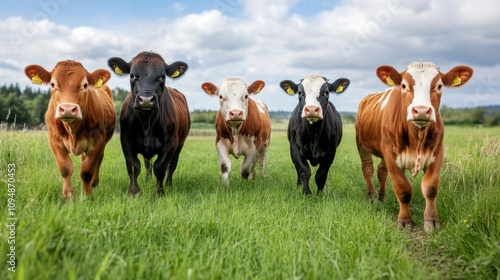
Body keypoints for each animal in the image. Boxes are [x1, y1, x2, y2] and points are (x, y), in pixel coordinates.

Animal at [25, 60, 116, 198]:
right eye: (52, 84)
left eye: (85, 85)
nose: (67, 109)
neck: (73, 130)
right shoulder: (54, 140)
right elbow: (65, 168)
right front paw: (68, 195)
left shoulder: (98, 139)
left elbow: (87, 170)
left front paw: (87, 194)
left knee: (99, 160)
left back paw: (94, 183)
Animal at [107, 51, 189, 196]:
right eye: (133, 76)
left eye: (162, 77)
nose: (146, 100)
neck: (147, 121)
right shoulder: (126, 141)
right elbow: (134, 166)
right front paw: (134, 193)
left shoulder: (171, 142)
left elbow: (160, 167)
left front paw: (159, 193)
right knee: (147, 163)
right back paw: (147, 181)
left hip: (180, 143)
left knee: (172, 164)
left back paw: (169, 184)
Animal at [356, 62, 472, 233]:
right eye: (404, 85)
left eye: (439, 86)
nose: (422, 111)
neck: (417, 136)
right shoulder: (391, 155)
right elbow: (403, 189)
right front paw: (405, 222)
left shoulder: (437, 153)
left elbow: (430, 189)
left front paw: (431, 221)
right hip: (362, 145)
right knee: (368, 169)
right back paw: (371, 196)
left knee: (381, 172)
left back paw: (382, 196)